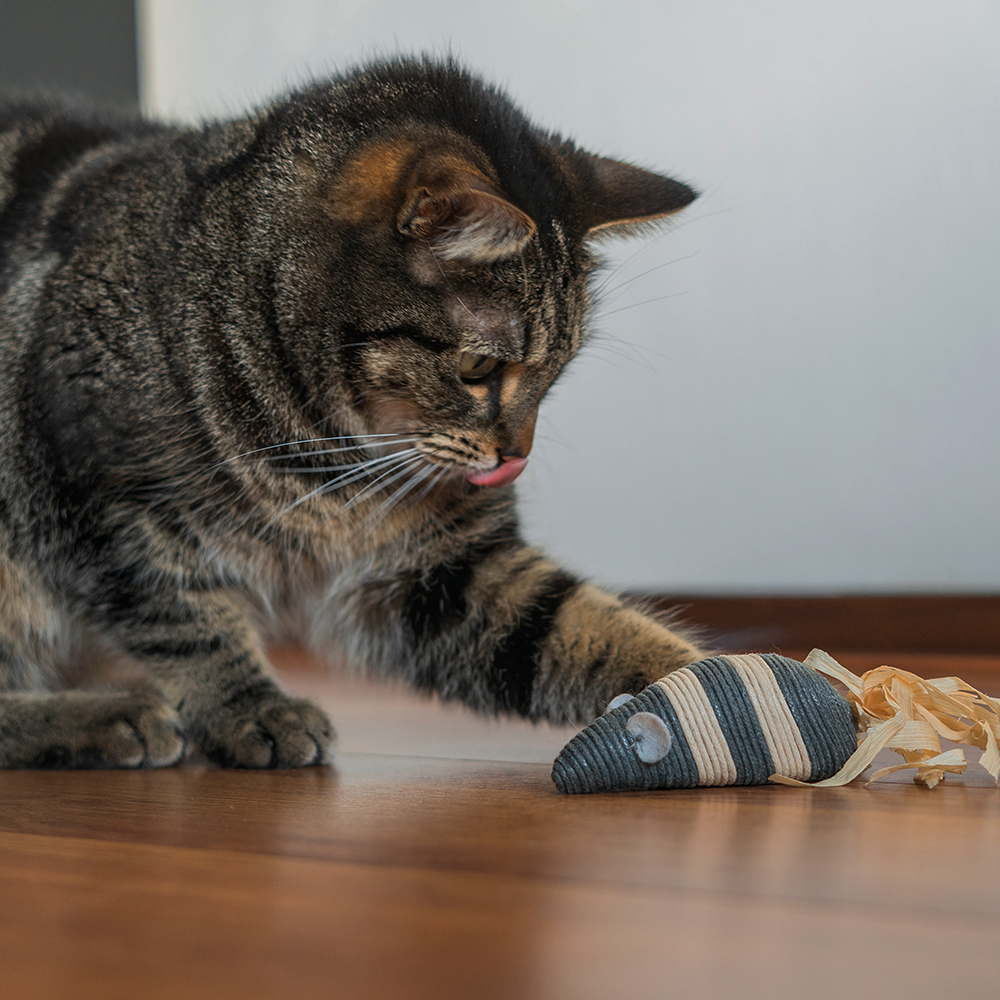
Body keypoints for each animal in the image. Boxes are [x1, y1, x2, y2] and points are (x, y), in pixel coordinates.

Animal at [0, 58, 704, 768]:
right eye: (479, 368)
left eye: (556, 371)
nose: (517, 456)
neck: (330, 458)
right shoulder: (108, 505)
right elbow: (189, 624)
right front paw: (251, 707)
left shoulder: (444, 570)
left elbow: (578, 628)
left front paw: (710, 685)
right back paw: (111, 715)